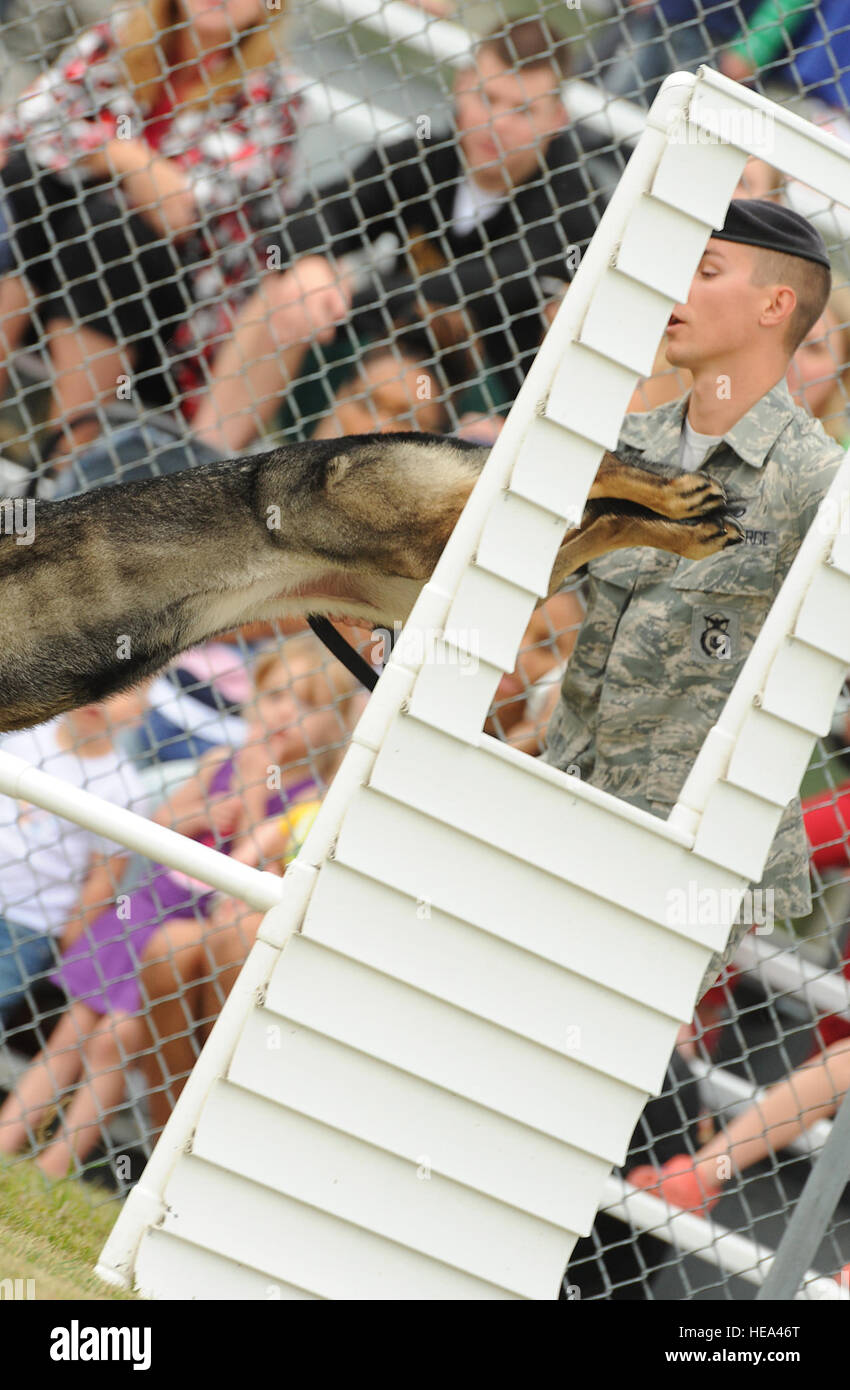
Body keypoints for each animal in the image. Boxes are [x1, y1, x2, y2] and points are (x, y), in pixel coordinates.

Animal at [0, 436, 738, 733]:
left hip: (412, 529)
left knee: (579, 473)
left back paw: (675, 495)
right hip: (435, 570)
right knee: (596, 517)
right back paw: (691, 528)